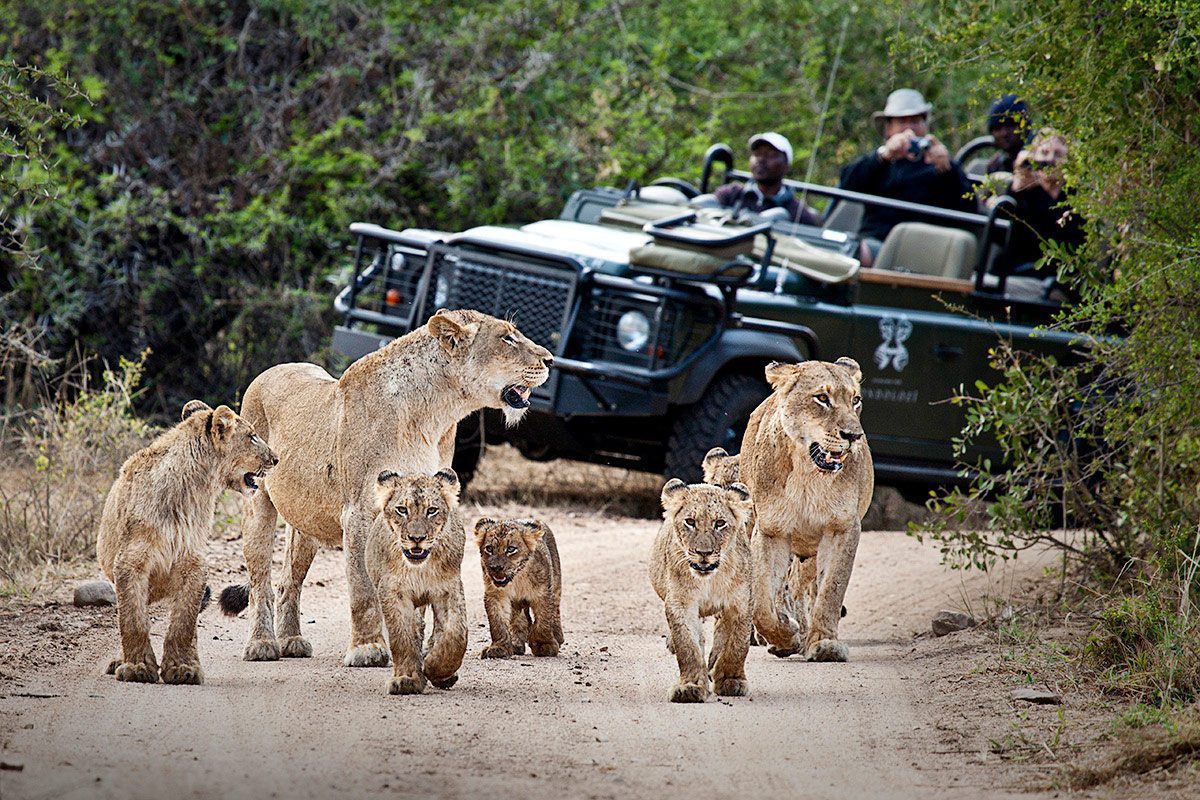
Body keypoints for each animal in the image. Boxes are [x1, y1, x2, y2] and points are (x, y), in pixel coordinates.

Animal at [94, 402, 277, 686]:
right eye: (252, 436)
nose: (276, 458)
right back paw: (119, 661)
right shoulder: (130, 562)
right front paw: (137, 668)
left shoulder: (193, 562)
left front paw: (183, 668)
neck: (193, 488)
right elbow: (133, 620)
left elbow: (184, 622)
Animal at [369, 470, 468, 695]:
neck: (419, 568)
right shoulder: (393, 592)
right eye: (402, 510)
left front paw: (435, 667)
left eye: (431, 510)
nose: (416, 538)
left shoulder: (449, 588)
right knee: (416, 627)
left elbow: (457, 634)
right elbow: (402, 637)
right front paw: (407, 679)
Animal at [472, 515, 561, 662]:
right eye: (489, 548)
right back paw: (516, 644)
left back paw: (558, 637)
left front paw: (544, 645)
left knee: (555, 609)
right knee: (518, 619)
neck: (517, 579)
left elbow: (543, 619)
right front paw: (499, 648)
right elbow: (497, 622)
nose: (496, 568)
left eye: (510, 549)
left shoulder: (543, 594)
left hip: (556, 581)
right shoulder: (495, 594)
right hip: (516, 603)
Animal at [652, 479, 753, 705]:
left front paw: (731, 680)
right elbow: (687, 646)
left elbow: (737, 645)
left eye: (720, 523)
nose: (703, 553)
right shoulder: (681, 603)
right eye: (690, 522)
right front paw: (691, 687)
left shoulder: (741, 603)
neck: (709, 580)